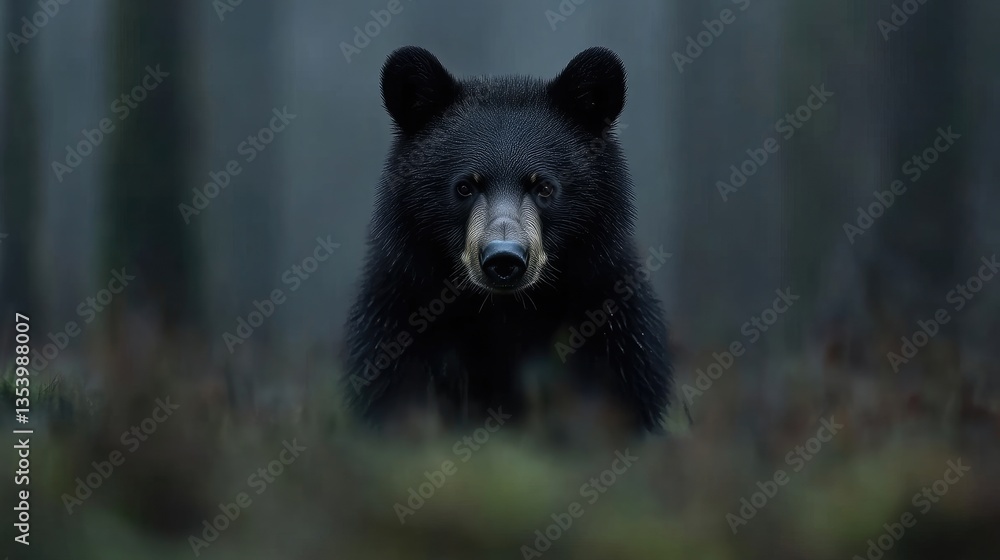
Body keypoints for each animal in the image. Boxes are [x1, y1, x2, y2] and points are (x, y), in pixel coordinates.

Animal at [342, 46, 672, 434]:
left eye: (543, 187)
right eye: (465, 186)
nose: (504, 258)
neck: (504, 311)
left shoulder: (609, 319)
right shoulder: (399, 315)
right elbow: (395, 388)